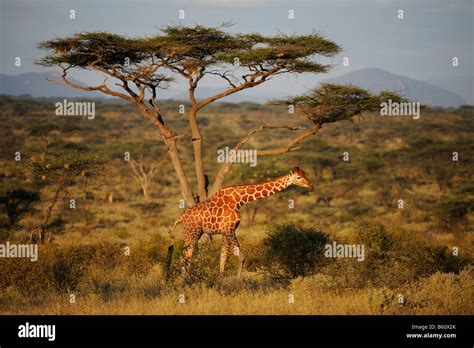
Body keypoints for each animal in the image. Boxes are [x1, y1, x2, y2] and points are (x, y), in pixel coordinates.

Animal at [172, 167, 312, 278]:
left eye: (305, 174)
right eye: (299, 177)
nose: (311, 186)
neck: (239, 199)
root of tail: (182, 217)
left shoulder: (225, 231)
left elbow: (223, 257)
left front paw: (220, 279)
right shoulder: (230, 230)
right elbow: (241, 256)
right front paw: (237, 282)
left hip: (196, 232)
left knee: (187, 255)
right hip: (192, 231)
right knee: (184, 255)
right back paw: (184, 281)